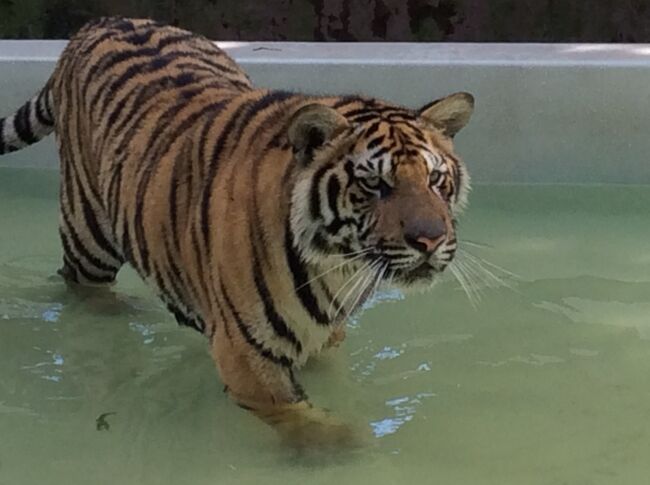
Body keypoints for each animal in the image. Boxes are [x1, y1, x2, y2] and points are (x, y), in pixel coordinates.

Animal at [1, 17, 476, 448]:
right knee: (79, 284)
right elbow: (298, 416)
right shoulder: (245, 353)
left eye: (435, 180)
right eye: (375, 184)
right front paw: (348, 447)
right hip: (88, 234)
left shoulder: (325, 336)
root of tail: (98, 23)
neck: (335, 263)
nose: (430, 241)